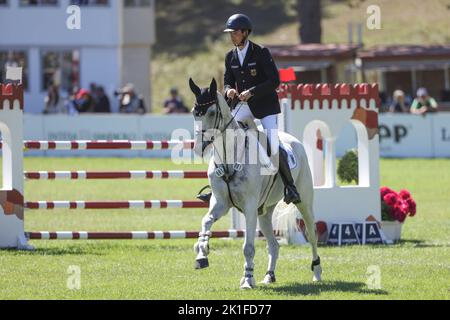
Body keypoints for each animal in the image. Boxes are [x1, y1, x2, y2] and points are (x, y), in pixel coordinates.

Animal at [188, 79, 322, 288]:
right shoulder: (220, 203)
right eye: (195, 112)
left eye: (211, 113)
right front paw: (202, 253)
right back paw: (269, 276)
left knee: (312, 234)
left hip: (304, 202)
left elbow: (248, 247)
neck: (229, 158)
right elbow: (206, 221)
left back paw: (316, 272)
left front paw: (248, 280)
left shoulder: (249, 206)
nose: (198, 148)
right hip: (264, 212)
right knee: (274, 245)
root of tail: (294, 140)